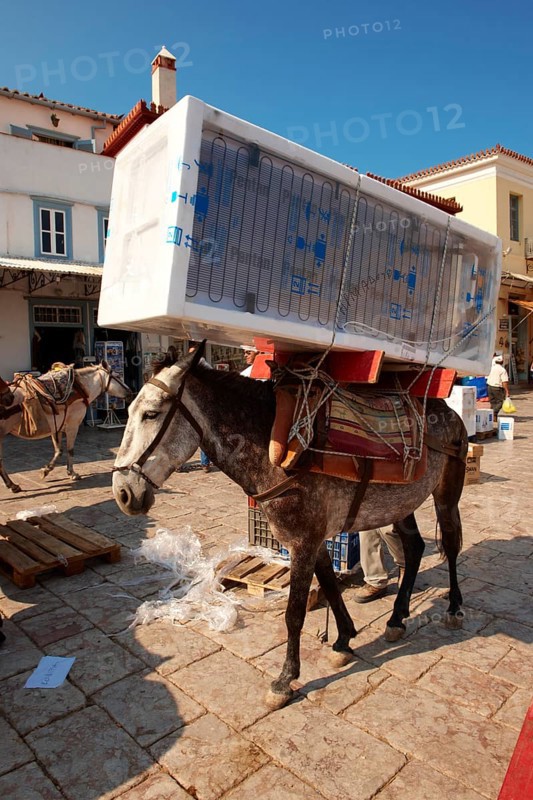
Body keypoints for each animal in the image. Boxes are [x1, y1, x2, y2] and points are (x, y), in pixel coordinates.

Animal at [0, 362, 131, 493]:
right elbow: (70, 450)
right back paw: (12, 485)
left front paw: (46, 470)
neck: (79, 388)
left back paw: (12, 485)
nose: (131, 392)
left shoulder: (56, 428)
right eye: (118, 376)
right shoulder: (72, 426)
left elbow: (59, 451)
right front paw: (72, 473)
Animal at [112, 342, 468, 709]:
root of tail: (447, 410)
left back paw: (454, 609)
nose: (123, 492)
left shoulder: (303, 542)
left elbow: (294, 613)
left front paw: (285, 679)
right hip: (400, 504)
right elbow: (329, 588)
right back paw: (397, 618)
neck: (273, 446)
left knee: (451, 543)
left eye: (151, 413)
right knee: (414, 549)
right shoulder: (312, 540)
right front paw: (343, 641)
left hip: (447, 491)